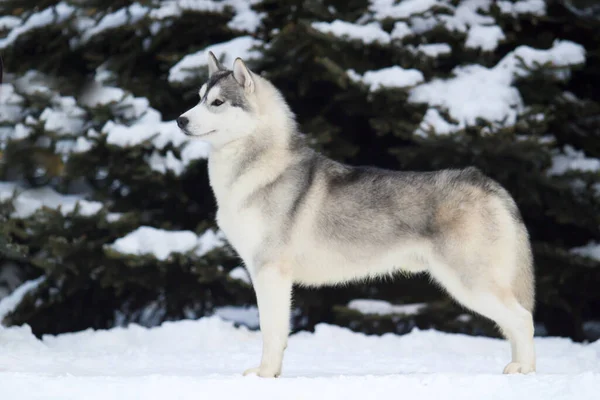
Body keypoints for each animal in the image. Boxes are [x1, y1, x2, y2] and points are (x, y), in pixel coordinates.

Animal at [176, 52, 536, 378]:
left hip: (471, 284)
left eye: (218, 102)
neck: (257, 169)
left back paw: (525, 370)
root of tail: (487, 182)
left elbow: (271, 332)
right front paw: (273, 373)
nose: (180, 120)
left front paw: (265, 374)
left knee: (523, 319)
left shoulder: (270, 272)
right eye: (199, 99)